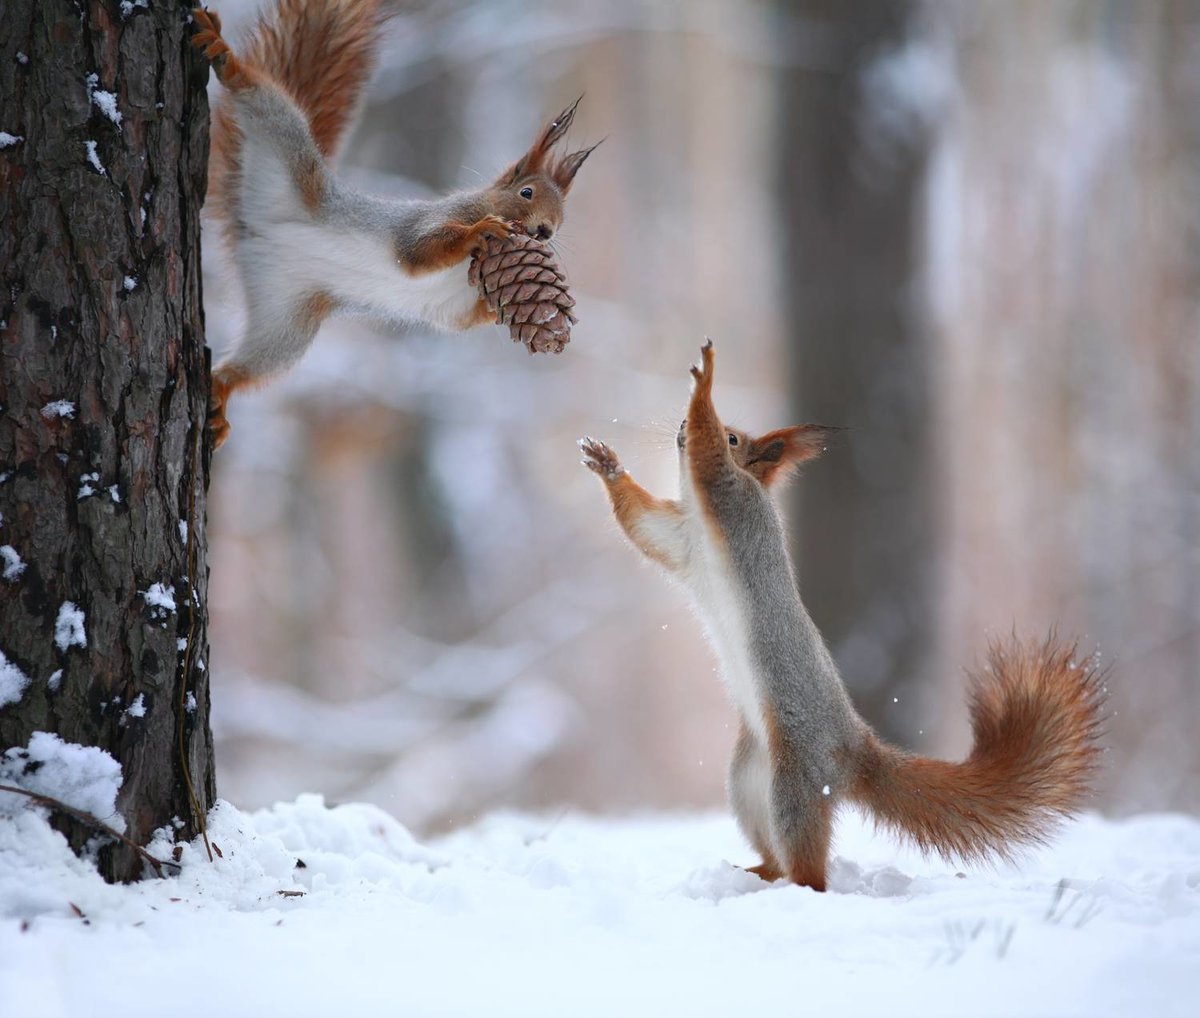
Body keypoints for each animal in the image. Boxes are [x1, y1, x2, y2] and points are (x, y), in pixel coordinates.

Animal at [189, 0, 597, 446]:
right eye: (526, 193)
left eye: (562, 219)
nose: (545, 231)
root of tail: (252, 230)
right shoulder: (428, 222)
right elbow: (418, 252)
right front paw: (481, 232)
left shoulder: (455, 303)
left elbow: (461, 319)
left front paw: (501, 309)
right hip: (286, 149)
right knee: (260, 98)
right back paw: (224, 56)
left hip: (286, 321)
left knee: (250, 365)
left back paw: (221, 392)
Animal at [580, 340, 1104, 893]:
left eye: (734, 435)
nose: (679, 426)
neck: (702, 520)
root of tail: (856, 750)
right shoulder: (681, 542)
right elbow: (643, 526)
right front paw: (607, 463)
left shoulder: (730, 497)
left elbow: (710, 460)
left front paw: (706, 382)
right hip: (747, 782)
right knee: (776, 852)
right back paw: (756, 873)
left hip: (795, 781)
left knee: (811, 869)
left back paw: (794, 886)